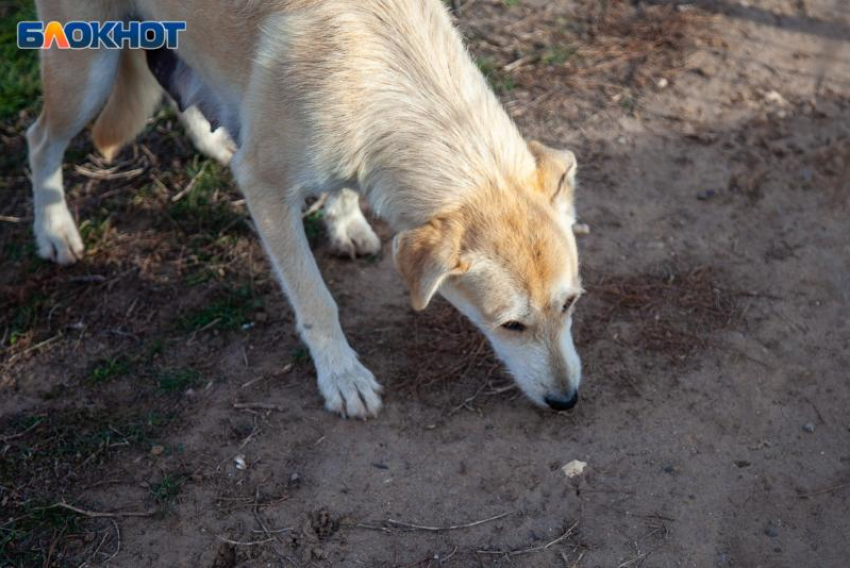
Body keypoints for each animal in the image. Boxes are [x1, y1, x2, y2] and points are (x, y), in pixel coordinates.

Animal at [26, 0, 584, 418]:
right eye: (511, 325)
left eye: (570, 304)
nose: (567, 401)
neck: (378, 68)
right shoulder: (266, 188)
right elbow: (317, 302)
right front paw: (342, 376)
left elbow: (343, 189)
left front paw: (345, 222)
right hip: (86, 69)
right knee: (40, 141)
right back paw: (54, 229)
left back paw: (214, 144)